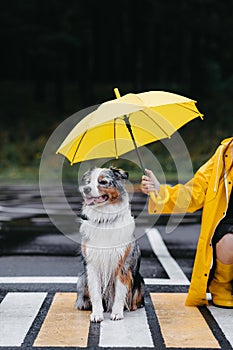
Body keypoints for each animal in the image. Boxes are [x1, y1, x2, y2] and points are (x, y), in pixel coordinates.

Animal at [75, 167, 144, 322]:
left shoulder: (123, 265)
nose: (85, 189)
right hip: (82, 278)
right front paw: (96, 314)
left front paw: (117, 313)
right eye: (88, 181)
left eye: (103, 182)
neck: (105, 219)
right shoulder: (92, 265)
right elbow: (95, 293)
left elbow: (120, 293)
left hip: (139, 281)